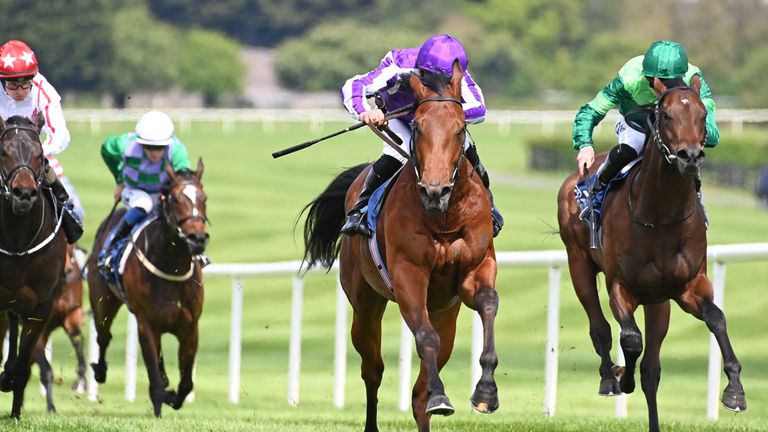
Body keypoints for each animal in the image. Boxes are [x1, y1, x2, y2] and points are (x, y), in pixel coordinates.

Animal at [0, 243, 87, 412]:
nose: (66, 271)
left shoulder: (71, 316)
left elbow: (79, 347)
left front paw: (80, 382)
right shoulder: (34, 325)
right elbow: (46, 369)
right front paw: (51, 407)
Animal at [87, 160, 208, 416]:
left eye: (204, 197)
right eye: (174, 199)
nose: (197, 238)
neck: (172, 266)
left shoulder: (190, 325)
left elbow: (186, 383)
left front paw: (173, 396)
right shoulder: (146, 323)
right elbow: (155, 377)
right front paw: (161, 402)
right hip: (103, 301)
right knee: (103, 335)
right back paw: (99, 370)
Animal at [300, 61, 498, 432]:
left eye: (460, 128)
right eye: (418, 127)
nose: (435, 191)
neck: (444, 217)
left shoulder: (475, 271)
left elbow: (489, 303)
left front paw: (486, 393)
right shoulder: (409, 276)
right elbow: (424, 338)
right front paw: (442, 396)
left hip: (446, 314)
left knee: (420, 387)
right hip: (365, 304)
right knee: (373, 369)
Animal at [556, 76, 748, 430]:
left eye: (703, 115)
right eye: (667, 115)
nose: (690, 157)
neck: (660, 216)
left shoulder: (687, 287)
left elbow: (717, 318)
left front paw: (735, 392)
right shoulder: (620, 286)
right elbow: (631, 339)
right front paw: (622, 377)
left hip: (658, 303)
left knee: (652, 371)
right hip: (578, 264)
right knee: (600, 328)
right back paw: (610, 378)